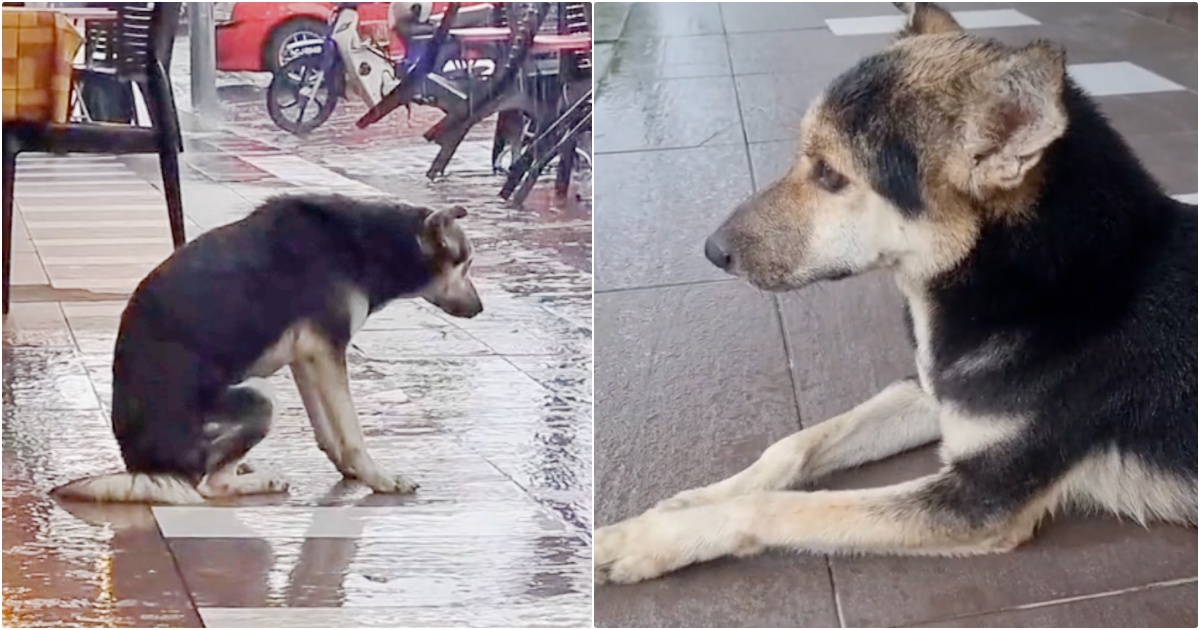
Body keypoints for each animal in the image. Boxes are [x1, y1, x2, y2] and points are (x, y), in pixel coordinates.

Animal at [51, 194, 482, 504]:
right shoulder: (327, 349)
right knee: (209, 485)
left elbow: (329, 430)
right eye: (466, 264)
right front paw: (379, 478)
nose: (480, 309)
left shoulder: (308, 356)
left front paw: (349, 471)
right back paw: (259, 480)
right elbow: (352, 433)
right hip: (259, 395)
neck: (374, 244)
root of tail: (144, 468)